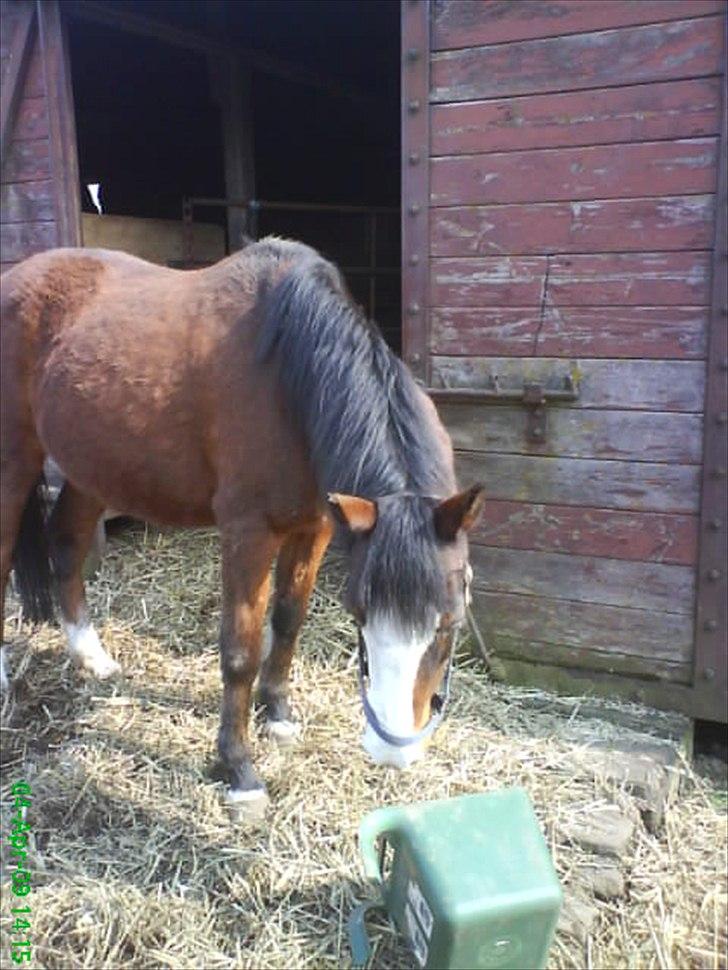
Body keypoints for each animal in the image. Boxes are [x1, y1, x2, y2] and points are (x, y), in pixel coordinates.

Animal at [0, 237, 484, 808]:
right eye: (361, 613)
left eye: (449, 623)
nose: (393, 751)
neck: (290, 378)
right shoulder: (247, 533)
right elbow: (241, 651)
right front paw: (239, 768)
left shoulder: (315, 527)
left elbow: (289, 619)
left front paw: (278, 715)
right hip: (12, 463)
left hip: (94, 467)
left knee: (68, 543)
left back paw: (91, 657)